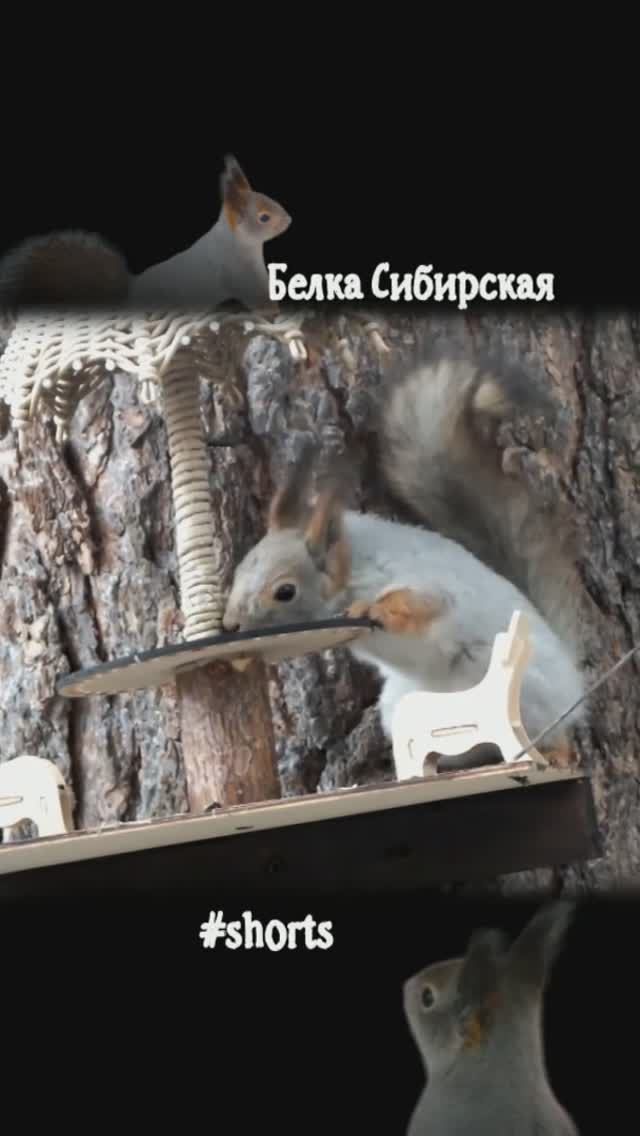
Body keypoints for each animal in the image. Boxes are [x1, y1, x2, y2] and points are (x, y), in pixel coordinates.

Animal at [0, 155, 290, 312]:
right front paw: (271, 311)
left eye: (271, 199)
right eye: (263, 217)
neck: (242, 245)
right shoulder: (235, 272)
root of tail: (131, 296)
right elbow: (252, 296)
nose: (289, 219)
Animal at [221, 347, 587, 768]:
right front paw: (239, 659)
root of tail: (572, 681)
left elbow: (424, 602)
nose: (230, 625)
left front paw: (374, 610)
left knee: (549, 734)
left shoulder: (423, 579)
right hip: (405, 707)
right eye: (240, 570)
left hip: (524, 693)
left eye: (285, 591)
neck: (355, 567)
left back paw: (554, 752)